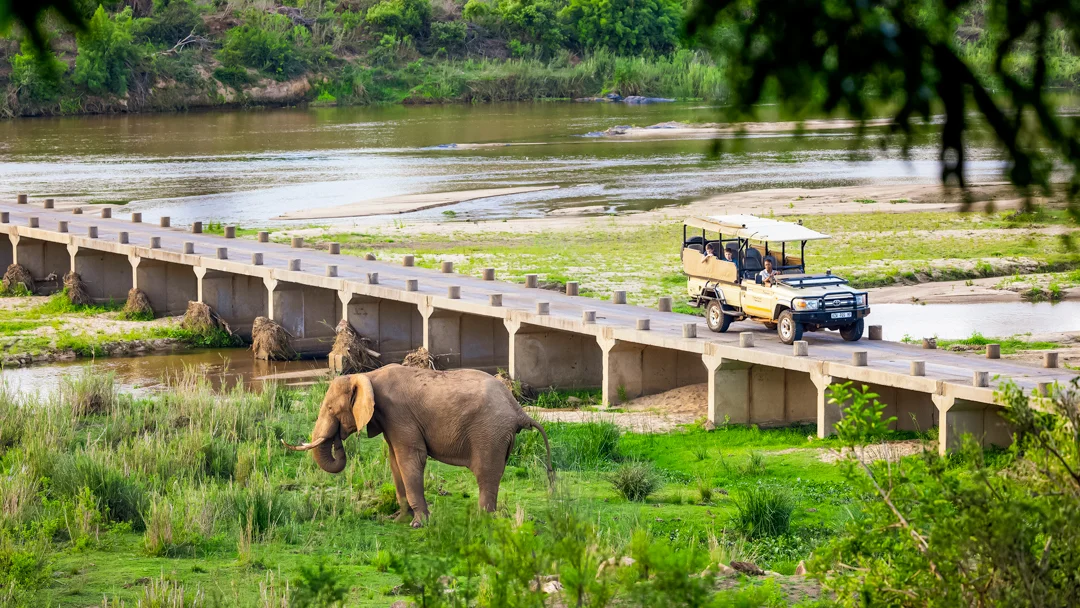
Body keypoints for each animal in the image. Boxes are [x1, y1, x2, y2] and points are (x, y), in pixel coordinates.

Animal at [283, 364, 553, 527]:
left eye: (331, 409)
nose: (338, 437)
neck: (367, 376)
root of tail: (518, 409)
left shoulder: (398, 414)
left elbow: (410, 459)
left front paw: (418, 524)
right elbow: (394, 460)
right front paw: (399, 519)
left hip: (489, 433)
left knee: (485, 473)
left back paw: (481, 520)